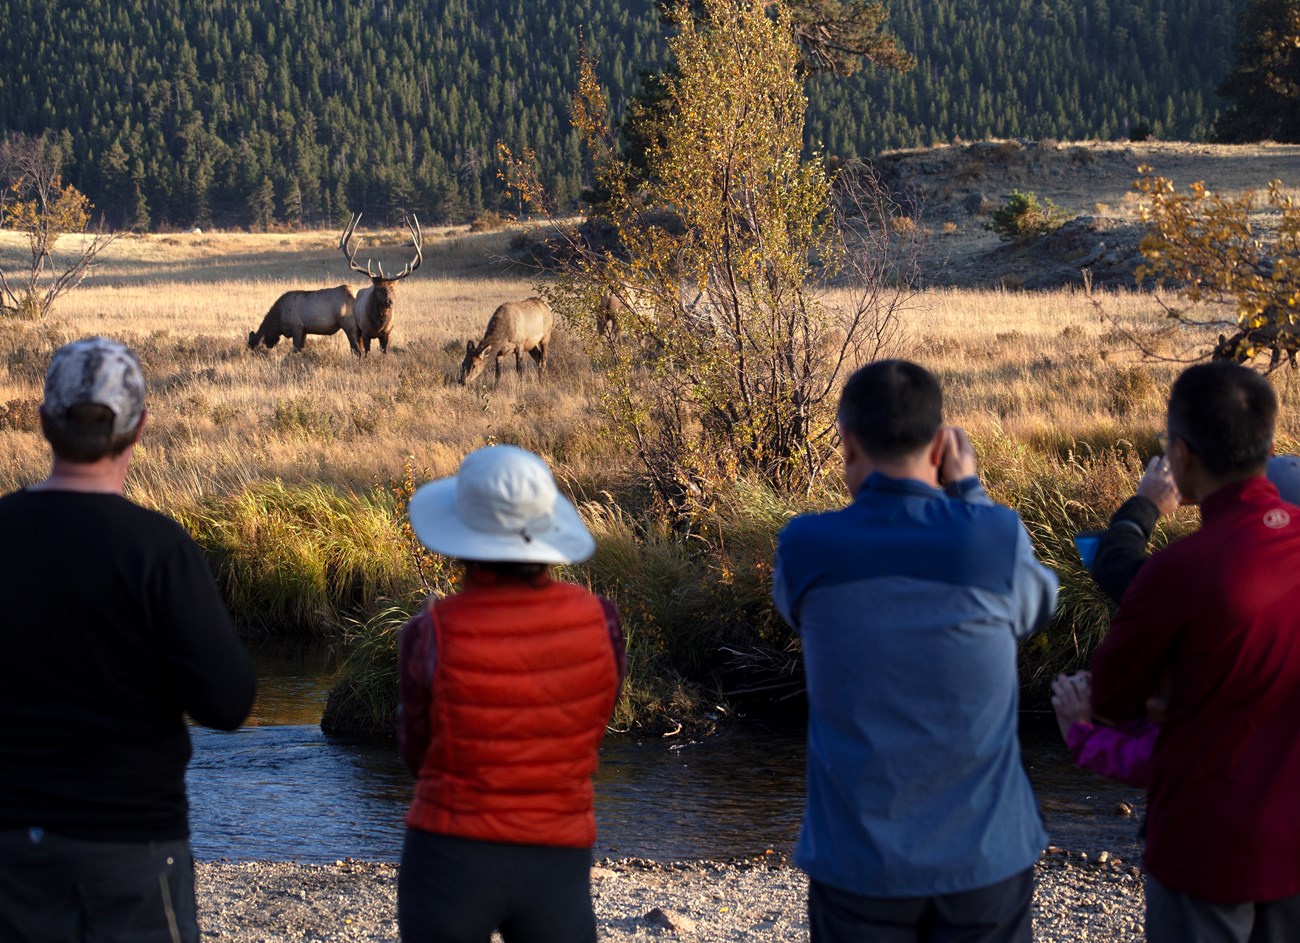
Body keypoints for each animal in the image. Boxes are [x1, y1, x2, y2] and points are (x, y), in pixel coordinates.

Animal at [245, 213, 423, 356]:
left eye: (254, 347)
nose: (252, 355)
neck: (279, 321)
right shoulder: (304, 330)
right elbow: (301, 349)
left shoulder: (297, 326)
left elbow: (295, 349)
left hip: (349, 325)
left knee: (357, 350)